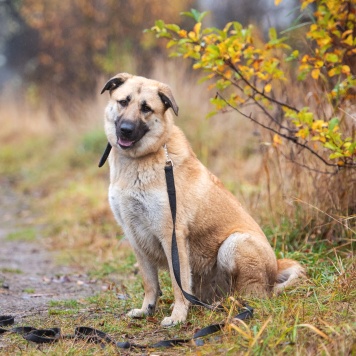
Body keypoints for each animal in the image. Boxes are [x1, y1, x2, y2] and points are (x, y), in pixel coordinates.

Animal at [101, 73, 306, 326]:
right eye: (123, 102)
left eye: (146, 108)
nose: (126, 130)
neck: (140, 159)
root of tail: (277, 267)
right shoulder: (135, 236)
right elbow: (150, 283)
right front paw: (146, 309)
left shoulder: (172, 236)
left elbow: (178, 284)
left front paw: (178, 317)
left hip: (234, 244)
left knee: (253, 295)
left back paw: (224, 305)